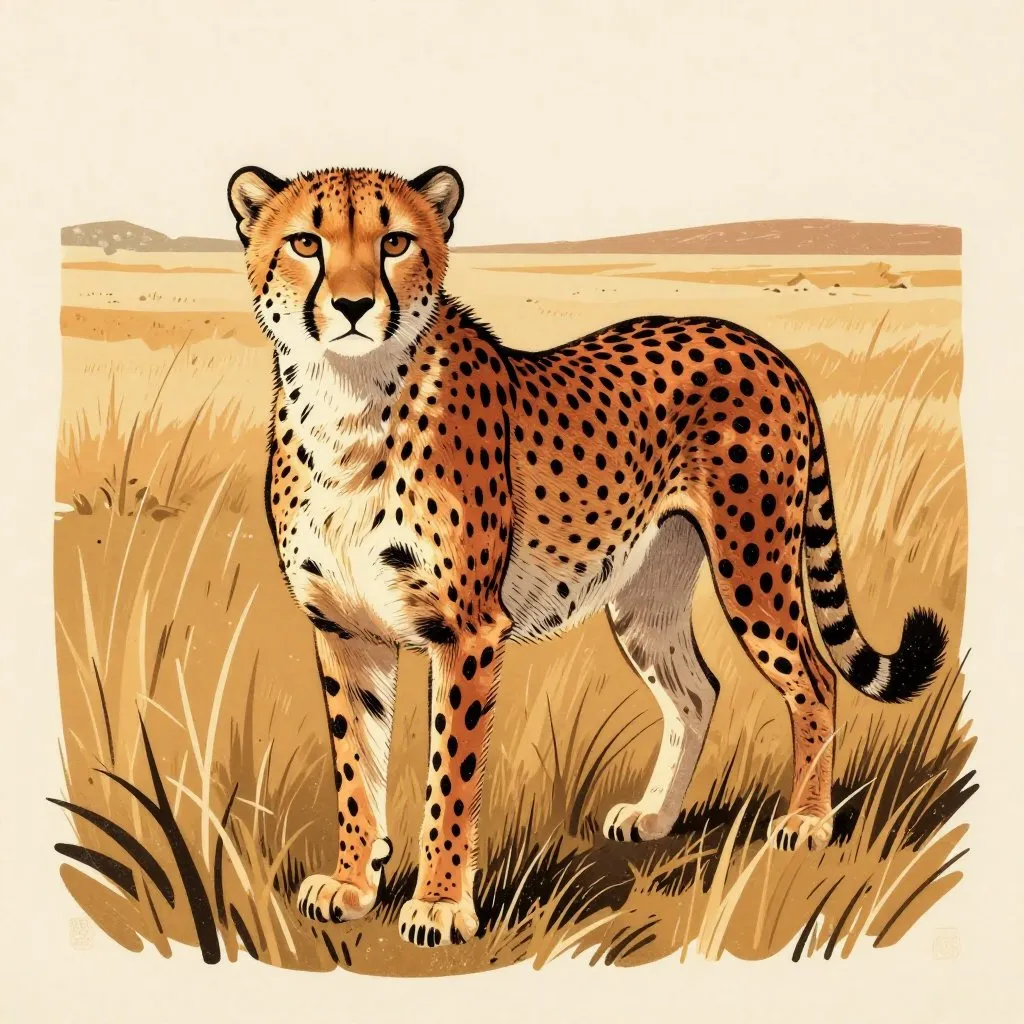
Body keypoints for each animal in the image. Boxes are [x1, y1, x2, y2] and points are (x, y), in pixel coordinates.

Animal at [227, 163, 947, 948]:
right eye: (305, 242)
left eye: (395, 242)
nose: (354, 304)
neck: (347, 403)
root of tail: (757, 342)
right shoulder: (345, 629)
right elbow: (357, 766)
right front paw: (355, 885)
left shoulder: (468, 631)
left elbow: (452, 775)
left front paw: (442, 903)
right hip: (648, 590)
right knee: (697, 689)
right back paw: (656, 815)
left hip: (753, 564)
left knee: (813, 677)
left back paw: (808, 821)